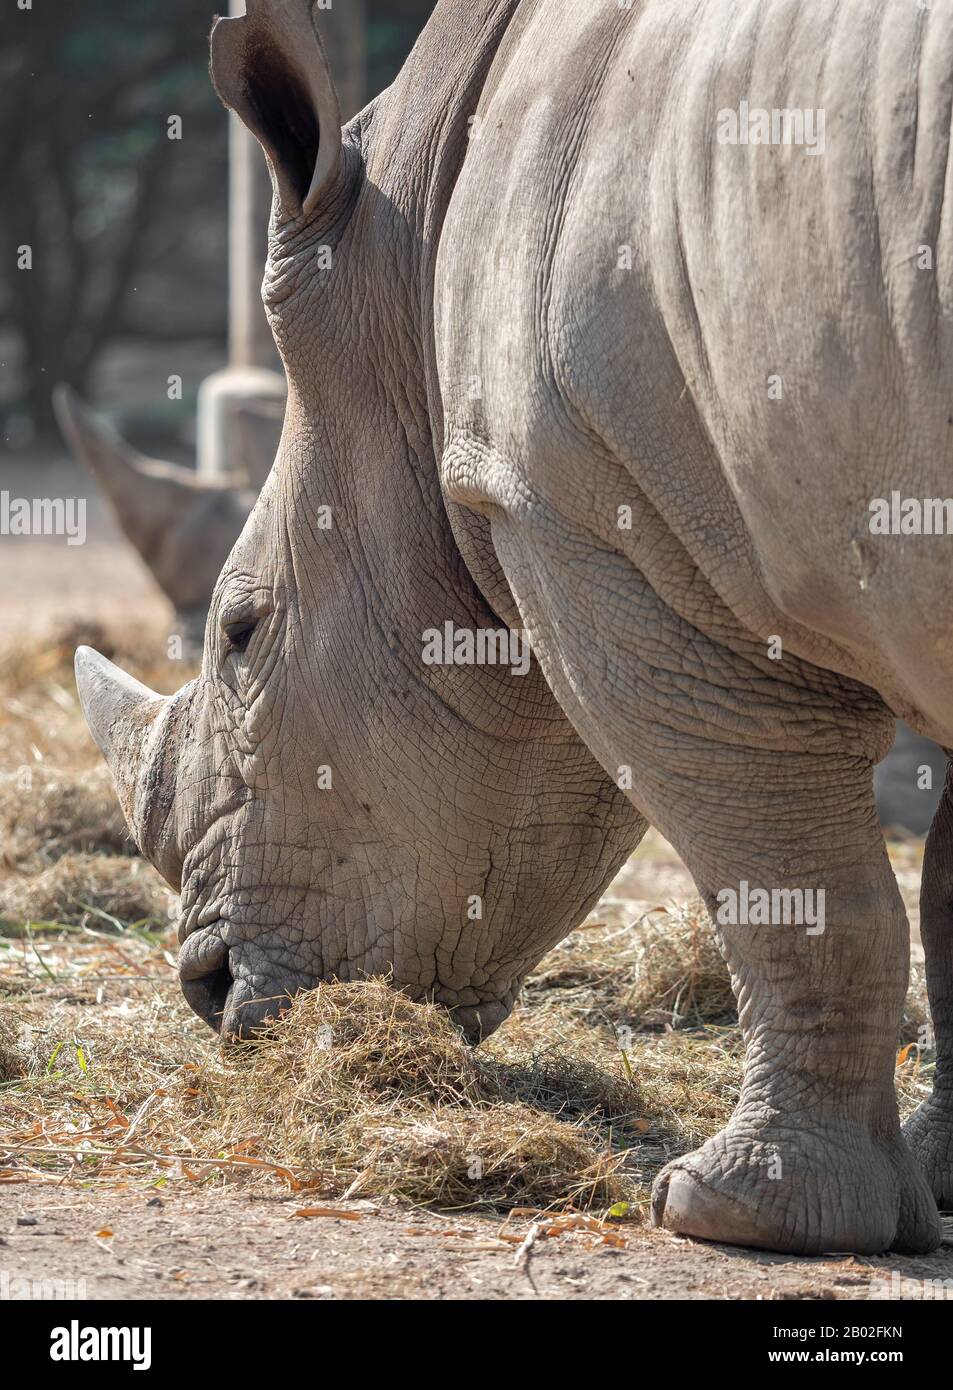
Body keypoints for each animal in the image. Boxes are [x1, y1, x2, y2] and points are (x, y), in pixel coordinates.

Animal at [73, 0, 953, 1256]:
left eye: (241, 632)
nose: (209, 988)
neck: (404, 290)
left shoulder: (583, 512)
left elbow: (786, 870)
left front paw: (736, 1214)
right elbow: (938, 885)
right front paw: (933, 1183)